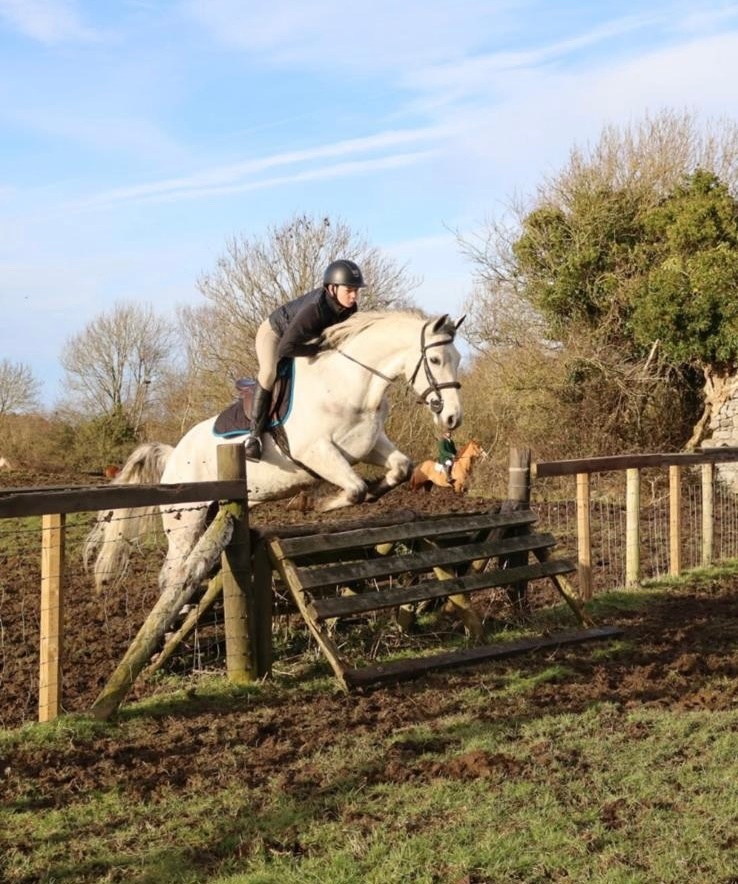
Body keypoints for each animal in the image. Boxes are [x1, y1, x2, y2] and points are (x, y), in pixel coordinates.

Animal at [84, 311, 464, 601]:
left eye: (458, 359)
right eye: (434, 359)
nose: (452, 418)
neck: (349, 384)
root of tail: (175, 452)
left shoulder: (369, 444)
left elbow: (401, 468)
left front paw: (374, 491)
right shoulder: (317, 452)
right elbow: (354, 488)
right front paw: (323, 504)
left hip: (215, 514)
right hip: (185, 520)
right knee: (173, 571)